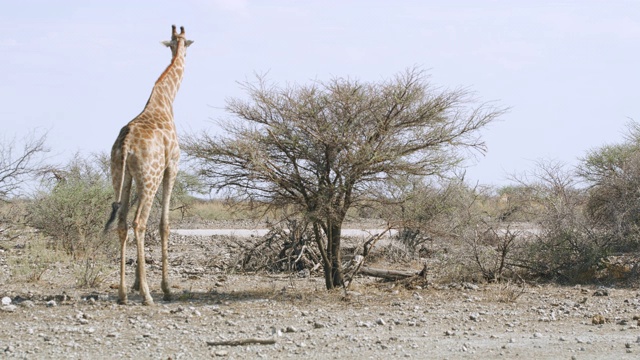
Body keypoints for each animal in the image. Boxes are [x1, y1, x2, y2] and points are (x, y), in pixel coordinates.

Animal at [104, 24, 192, 306]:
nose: (182, 53)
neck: (165, 101)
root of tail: (126, 144)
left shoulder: (131, 177)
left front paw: (133, 284)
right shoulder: (171, 167)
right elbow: (164, 224)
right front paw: (166, 287)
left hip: (120, 176)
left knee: (122, 222)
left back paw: (122, 294)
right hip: (149, 178)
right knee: (139, 222)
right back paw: (148, 294)